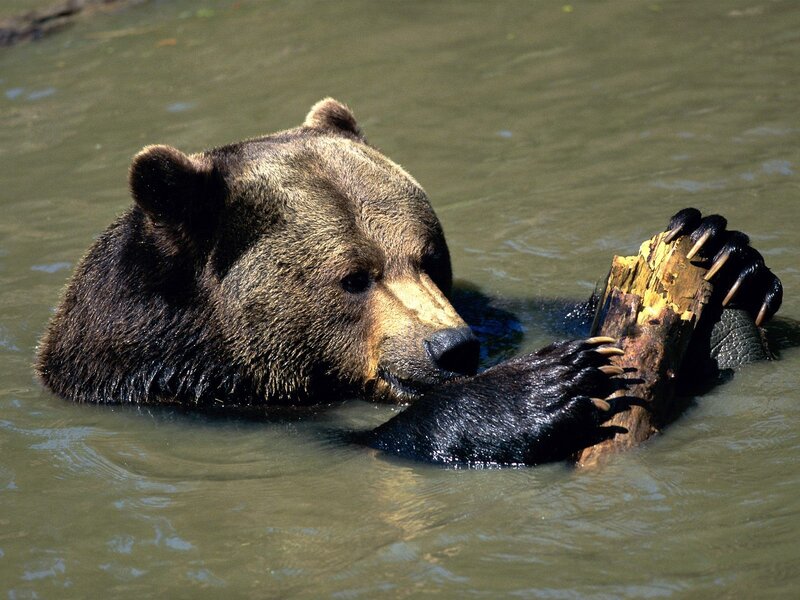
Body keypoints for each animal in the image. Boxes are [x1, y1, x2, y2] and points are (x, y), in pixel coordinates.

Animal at [36, 98, 783, 466]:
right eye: (352, 279)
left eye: (429, 256)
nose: (452, 347)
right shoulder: (192, 401)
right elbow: (369, 443)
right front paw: (545, 385)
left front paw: (724, 260)